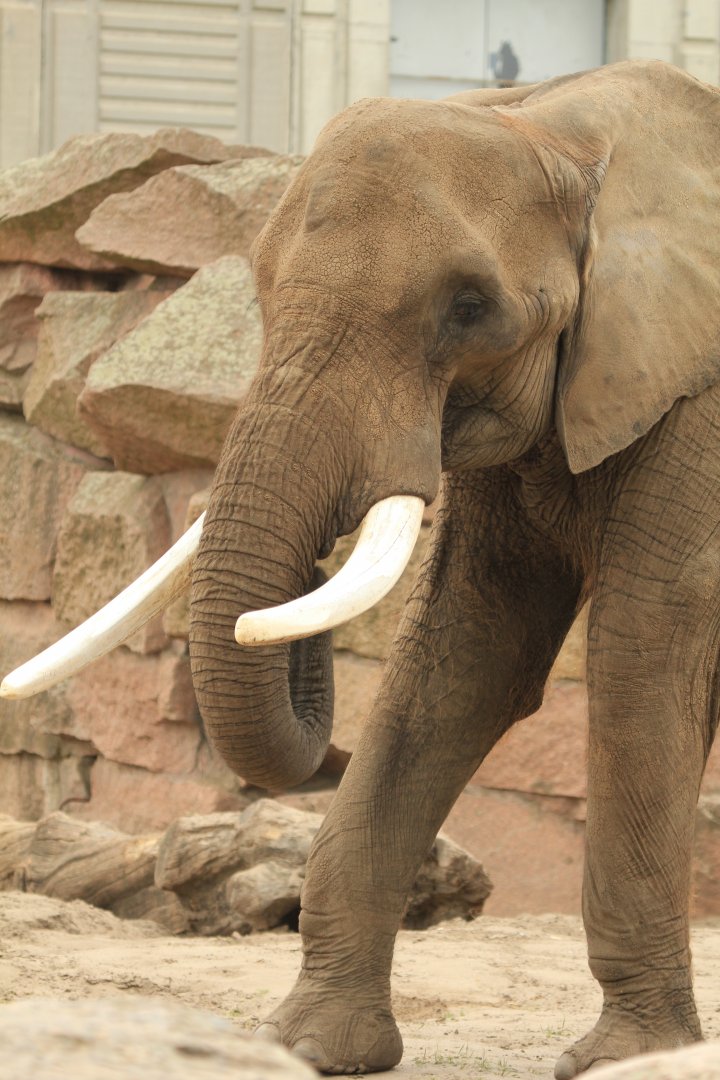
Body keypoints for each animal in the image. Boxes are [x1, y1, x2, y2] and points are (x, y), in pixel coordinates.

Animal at [3, 59, 720, 1078]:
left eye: (470, 308)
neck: (561, 127)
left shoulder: (700, 400)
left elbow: (644, 643)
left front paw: (627, 1059)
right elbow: (467, 649)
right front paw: (310, 1045)